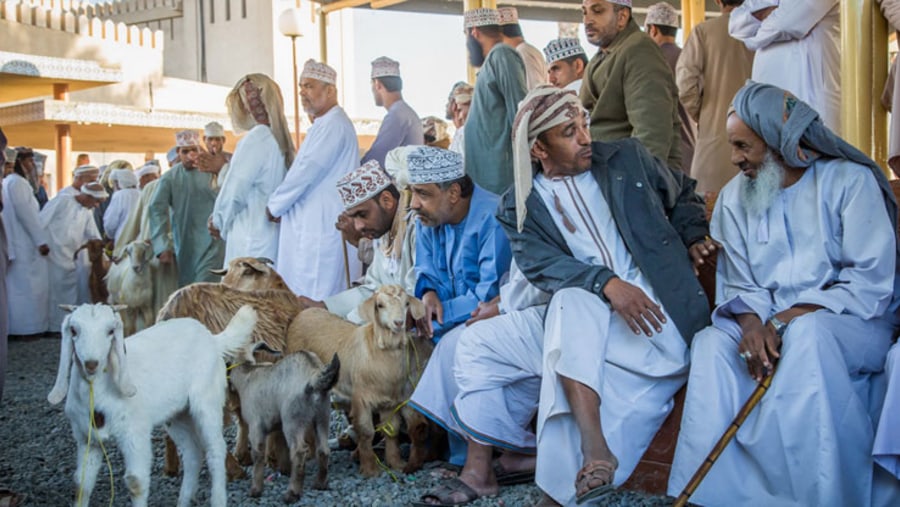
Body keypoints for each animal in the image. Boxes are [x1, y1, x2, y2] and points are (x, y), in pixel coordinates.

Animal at [48, 304, 256, 506]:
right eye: (73, 330)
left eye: (110, 331)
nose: (91, 364)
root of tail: (213, 339)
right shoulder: (87, 439)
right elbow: (81, 485)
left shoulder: (135, 434)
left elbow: (136, 482)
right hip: (177, 414)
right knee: (192, 453)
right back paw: (183, 501)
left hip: (207, 402)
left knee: (215, 449)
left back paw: (218, 499)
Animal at [230, 350, 342, 504]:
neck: (248, 374)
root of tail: (313, 375)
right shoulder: (279, 426)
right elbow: (282, 447)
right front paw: (285, 470)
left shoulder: (256, 426)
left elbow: (258, 455)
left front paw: (256, 490)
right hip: (322, 418)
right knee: (323, 449)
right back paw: (320, 483)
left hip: (293, 420)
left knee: (299, 452)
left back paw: (292, 493)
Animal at [284, 288, 432, 478]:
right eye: (380, 305)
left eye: (406, 304)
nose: (399, 323)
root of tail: (303, 313)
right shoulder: (361, 399)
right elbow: (366, 431)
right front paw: (370, 469)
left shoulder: (390, 401)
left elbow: (391, 430)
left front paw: (396, 463)